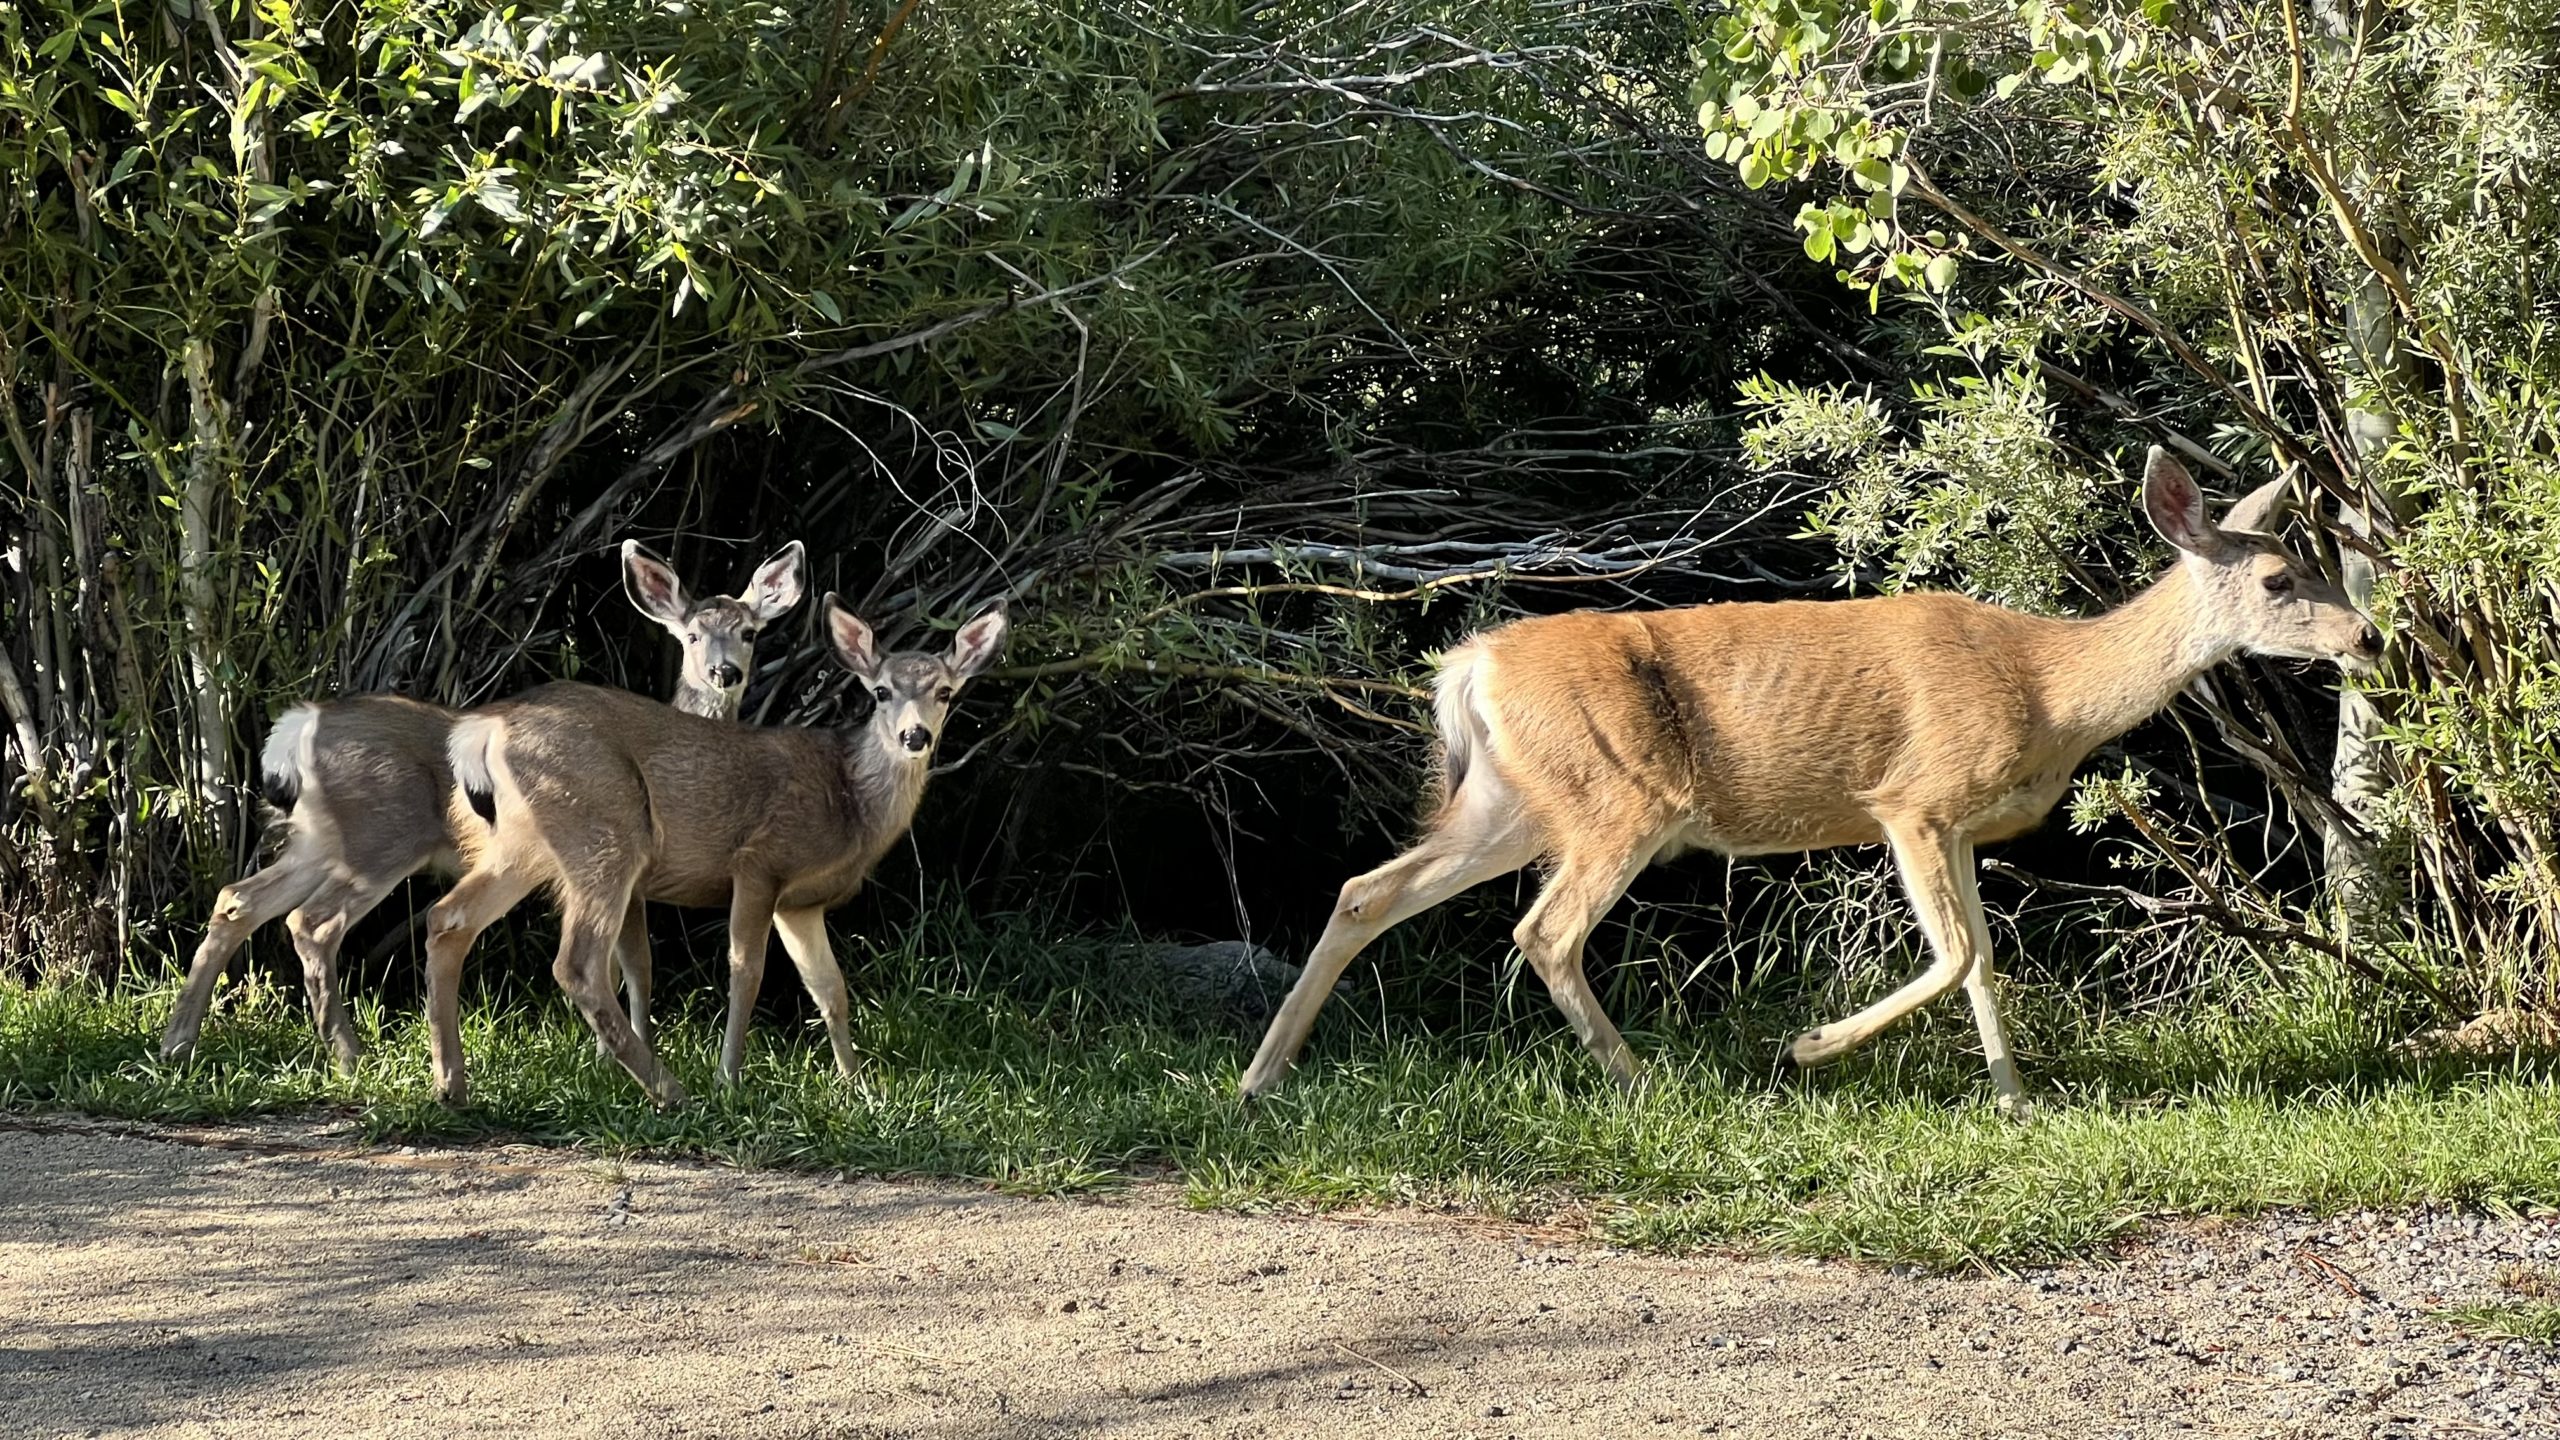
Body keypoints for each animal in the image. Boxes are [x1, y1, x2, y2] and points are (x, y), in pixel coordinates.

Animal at [162, 538, 798, 1065]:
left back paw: (179, 1042)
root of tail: (298, 725)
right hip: (382, 836)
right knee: (312, 923)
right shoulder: (629, 872)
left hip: (319, 838)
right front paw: (616, 1058)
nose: (724, 672)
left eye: (749, 632)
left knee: (239, 900)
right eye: (690, 636)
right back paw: (349, 1055)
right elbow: (636, 963)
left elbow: (633, 965)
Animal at [419, 591, 1008, 1096]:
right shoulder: (761, 862)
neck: (849, 800)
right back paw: (670, 1090)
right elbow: (747, 970)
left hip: (524, 841)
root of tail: (482, 729)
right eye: (881, 691)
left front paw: (858, 1084)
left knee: (448, 918)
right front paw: (730, 1077)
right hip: (605, 826)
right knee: (578, 963)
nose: (915, 736)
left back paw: (452, 1084)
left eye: (945, 692)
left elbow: (830, 988)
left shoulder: (801, 903)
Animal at [1233, 448, 2375, 1112]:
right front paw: (1808, 1046)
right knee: (1542, 930)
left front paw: (2014, 1098)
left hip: (1515, 799)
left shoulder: (1960, 826)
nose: (2365, 633)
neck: (2051, 689)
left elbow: (1985, 961)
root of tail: (1470, 664)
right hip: (1618, 795)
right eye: (2279, 578)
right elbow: (1959, 954)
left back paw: (1259, 1077)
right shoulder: (1912, 797)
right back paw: (1650, 1082)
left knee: (1366, 890)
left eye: (2318, 563)